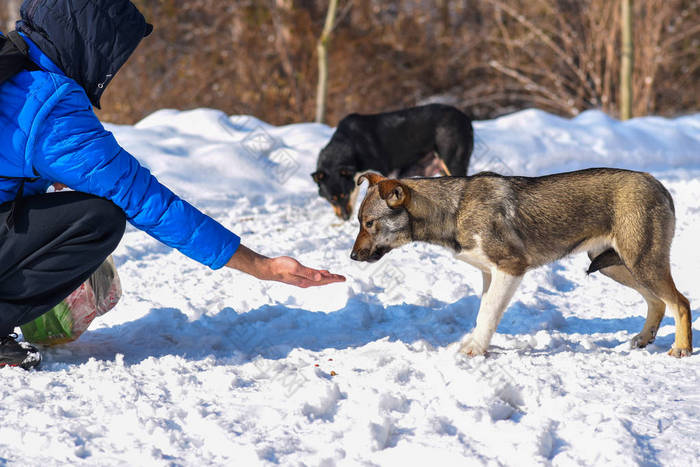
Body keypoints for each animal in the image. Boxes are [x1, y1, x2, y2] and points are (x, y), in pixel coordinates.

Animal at [314, 103, 474, 219]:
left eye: (344, 195)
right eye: (332, 199)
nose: (345, 218)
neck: (351, 144)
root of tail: (465, 118)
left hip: (453, 162)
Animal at [352, 170, 692, 356]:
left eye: (369, 223)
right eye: (358, 222)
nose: (352, 257)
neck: (454, 209)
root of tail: (658, 184)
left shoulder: (510, 268)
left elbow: (488, 315)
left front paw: (475, 350)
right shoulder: (489, 275)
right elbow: (482, 315)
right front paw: (475, 344)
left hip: (640, 262)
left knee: (681, 302)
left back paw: (682, 348)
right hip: (618, 265)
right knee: (658, 302)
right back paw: (645, 339)